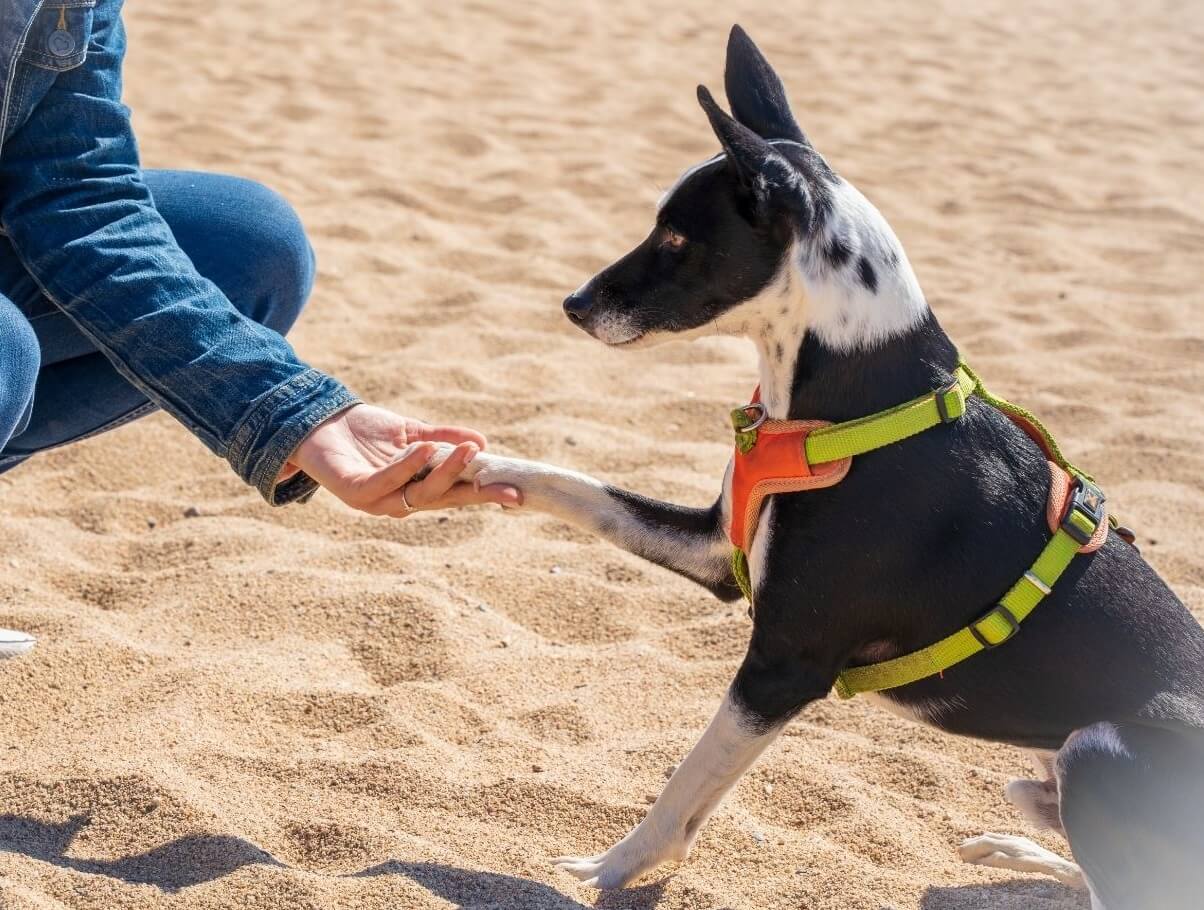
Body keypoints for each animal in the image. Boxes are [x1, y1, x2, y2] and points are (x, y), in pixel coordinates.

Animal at [443, 24, 1204, 905]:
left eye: (676, 239)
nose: (573, 303)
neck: (854, 390)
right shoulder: (716, 549)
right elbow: (576, 487)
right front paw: (464, 466)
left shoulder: (785, 663)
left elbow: (688, 782)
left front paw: (613, 865)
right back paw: (1017, 849)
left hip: (1099, 748)